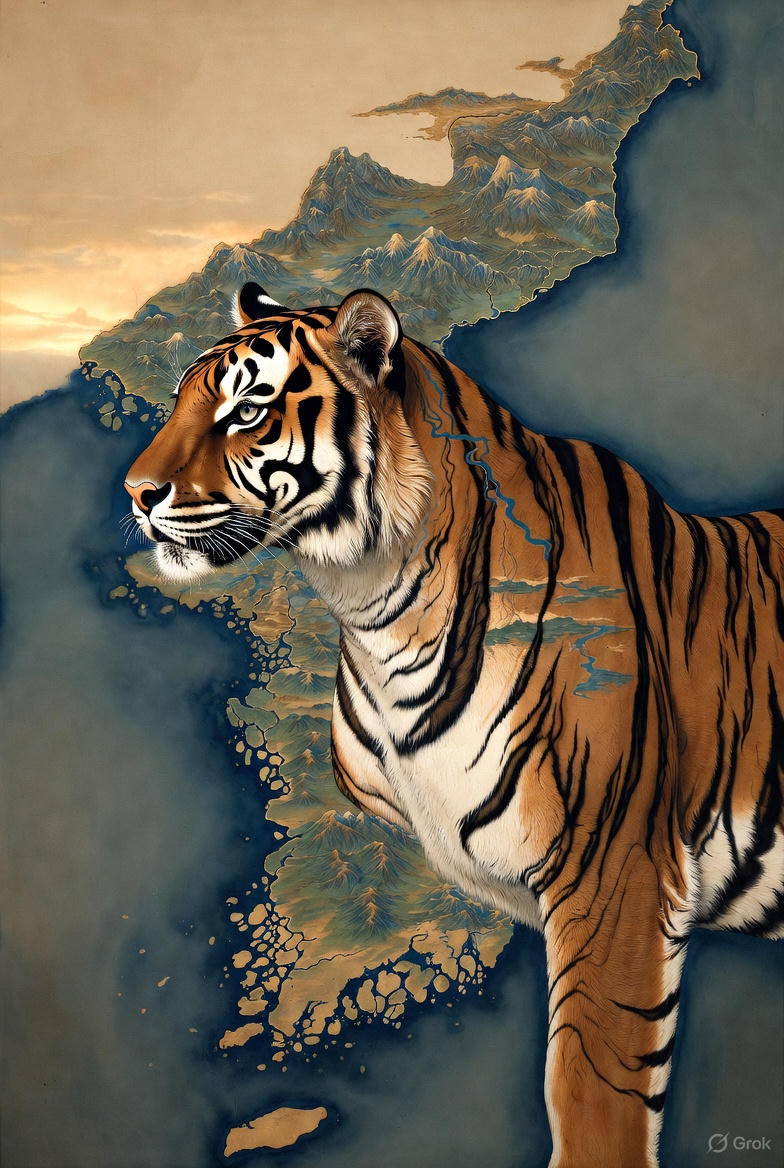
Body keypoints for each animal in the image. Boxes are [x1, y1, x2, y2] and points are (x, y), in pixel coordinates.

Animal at [125, 282, 784, 1168]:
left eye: (248, 410)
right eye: (178, 403)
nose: (136, 493)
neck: (376, 609)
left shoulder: (615, 874)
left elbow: (592, 1095)